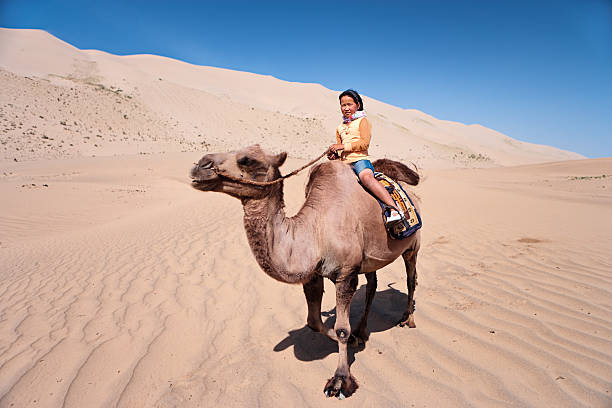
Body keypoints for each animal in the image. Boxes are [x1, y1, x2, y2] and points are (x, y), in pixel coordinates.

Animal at [191, 145, 420, 400]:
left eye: (247, 160)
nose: (201, 164)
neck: (316, 231)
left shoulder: (346, 274)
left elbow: (341, 329)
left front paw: (340, 380)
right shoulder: (314, 275)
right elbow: (313, 321)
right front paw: (351, 339)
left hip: (412, 246)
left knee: (411, 279)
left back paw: (407, 319)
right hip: (370, 259)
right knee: (372, 286)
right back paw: (361, 332)